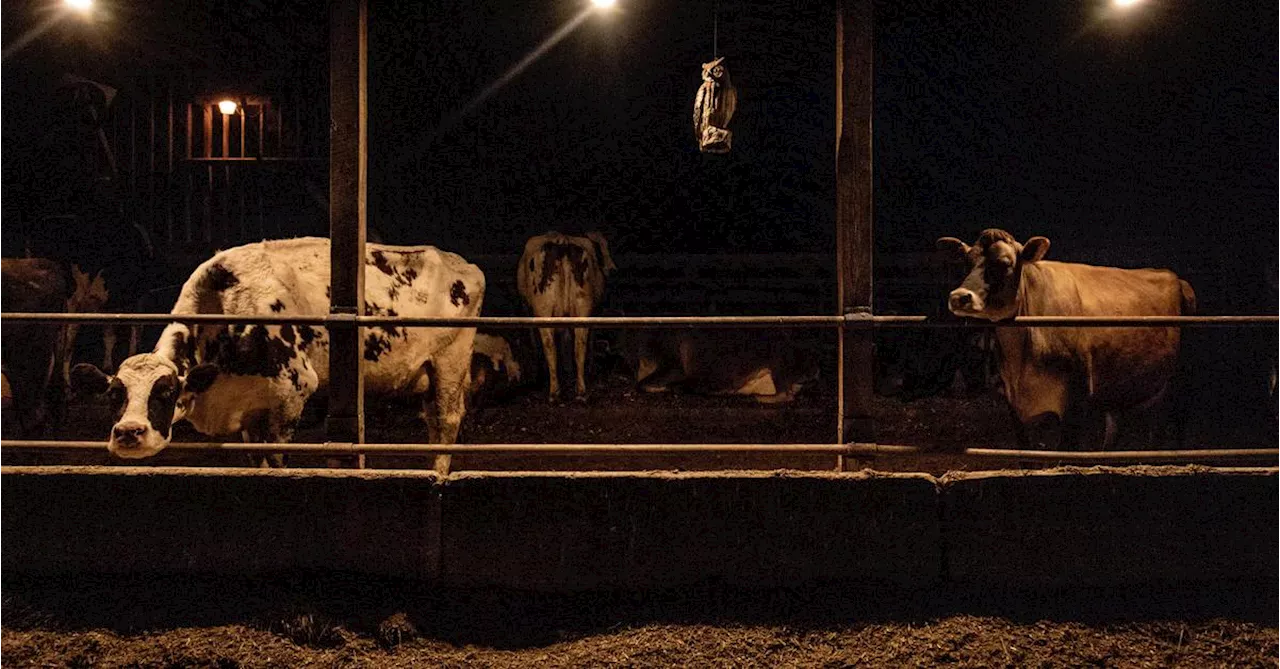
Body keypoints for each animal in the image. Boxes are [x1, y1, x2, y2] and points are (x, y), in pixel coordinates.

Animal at [72, 237, 486, 473]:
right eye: (114, 394)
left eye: (166, 391)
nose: (129, 433)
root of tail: (462, 264)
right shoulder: (250, 410)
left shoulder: (292, 394)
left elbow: (277, 461)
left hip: (450, 364)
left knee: (445, 423)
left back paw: (440, 474)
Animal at [936, 228, 1192, 450]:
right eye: (966, 263)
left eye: (1004, 263)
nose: (960, 297)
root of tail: (1174, 277)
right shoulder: (1014, 406)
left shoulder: (1076, 404)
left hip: (1179, 382)